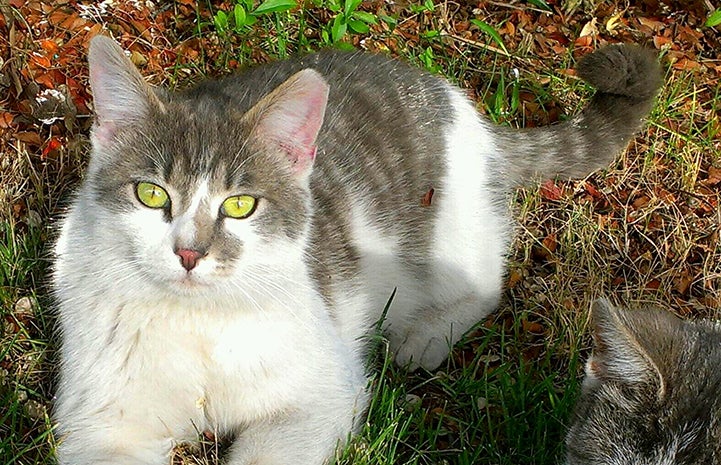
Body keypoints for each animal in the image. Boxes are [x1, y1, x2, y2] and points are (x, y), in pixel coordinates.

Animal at [52, 36, 660, 464]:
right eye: (152, 194)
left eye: (241, 205)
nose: (189, 252)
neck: (199, 321)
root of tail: (467, 111)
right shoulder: (101, 422)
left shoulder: (322, 395)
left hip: (451, 239)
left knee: (487, 281)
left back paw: (424, 336)